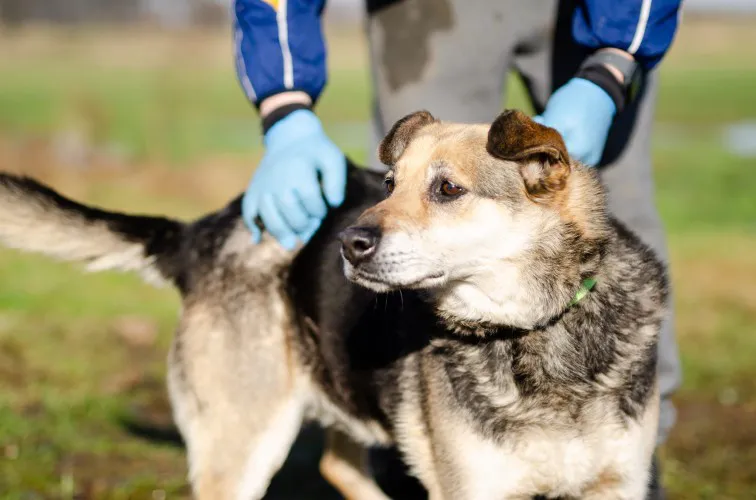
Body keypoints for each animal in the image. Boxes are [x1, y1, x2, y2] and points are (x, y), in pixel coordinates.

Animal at [0, 110, 664, 500]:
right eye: (390, 184)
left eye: (447, 188)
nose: (350, 243)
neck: (536, 332)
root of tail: (204, 231)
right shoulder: (475, 490)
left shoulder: (618, 483)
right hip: (241, 443)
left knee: (339, 466)